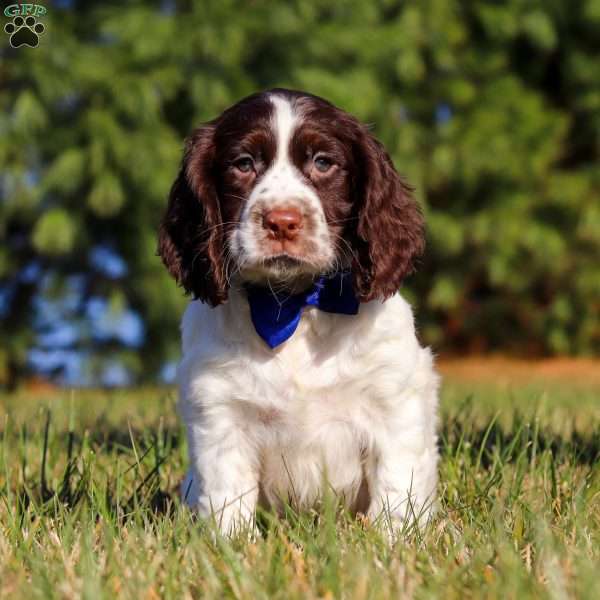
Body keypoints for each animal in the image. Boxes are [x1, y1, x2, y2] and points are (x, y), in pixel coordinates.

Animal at [158, 88, 440, 536]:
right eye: (243, 163)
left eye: (323, 162)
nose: (282, 221)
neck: (294, 305)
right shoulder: (219, 411)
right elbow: (226, 496)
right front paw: (232, 545)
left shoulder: (395, 403)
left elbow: (398, 488)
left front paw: (392, 542)